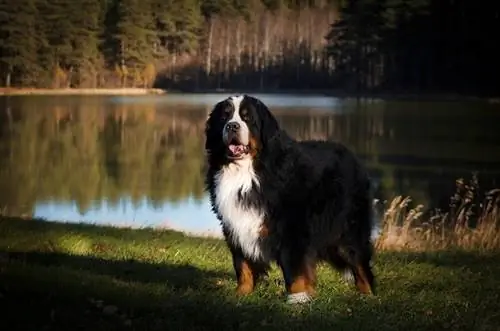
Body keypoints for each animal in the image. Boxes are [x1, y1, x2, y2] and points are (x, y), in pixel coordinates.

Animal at [203, 94, 376, 304]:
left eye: (247, 118)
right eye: (224, 117)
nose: (232, 126)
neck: (246, 171)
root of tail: (353, 156)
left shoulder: (293, 229)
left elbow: (295, 271)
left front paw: (298, 300)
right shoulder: (234, 225)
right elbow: (243, 265)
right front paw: (241, 294)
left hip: (349, 230)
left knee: (360, 264)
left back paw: (369, 297)